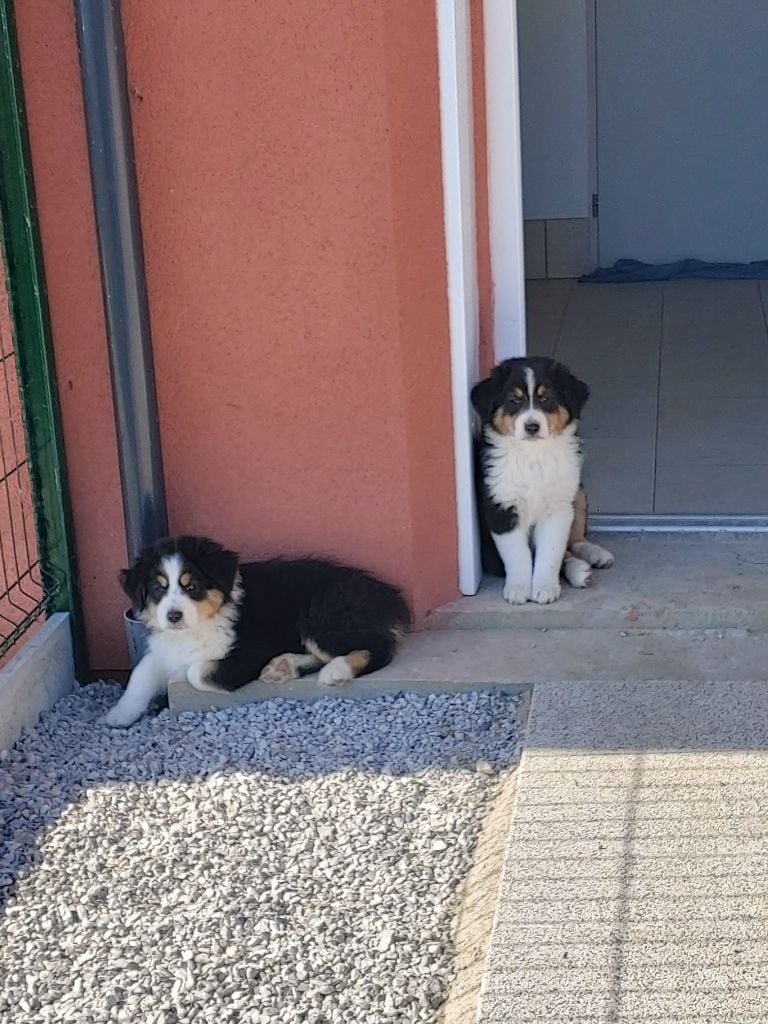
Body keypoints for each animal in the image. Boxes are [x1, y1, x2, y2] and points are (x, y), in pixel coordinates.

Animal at [107, 536, 415, 729]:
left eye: (191, 586)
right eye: (158, 588)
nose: (173, 616)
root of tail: (388, 598)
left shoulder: (248, 653)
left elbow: (196, 671)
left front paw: (183, 671)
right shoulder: (164, 648)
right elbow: (140, 673)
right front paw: (119, 715)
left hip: (320, 618)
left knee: (380, 648)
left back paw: (336, 670)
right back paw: (283, 667)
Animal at [473, 358, 618, 602]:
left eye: (545, 398)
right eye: (514, 400)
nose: (532, 427)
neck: (533, 456)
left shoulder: (557, 509)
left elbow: (551, 554)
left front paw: (544, 588)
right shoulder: (501, 508)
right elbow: (518, 555)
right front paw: (518, 589)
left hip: (577, 492)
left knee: (575, 541)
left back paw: (594, 555)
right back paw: (580, 570)